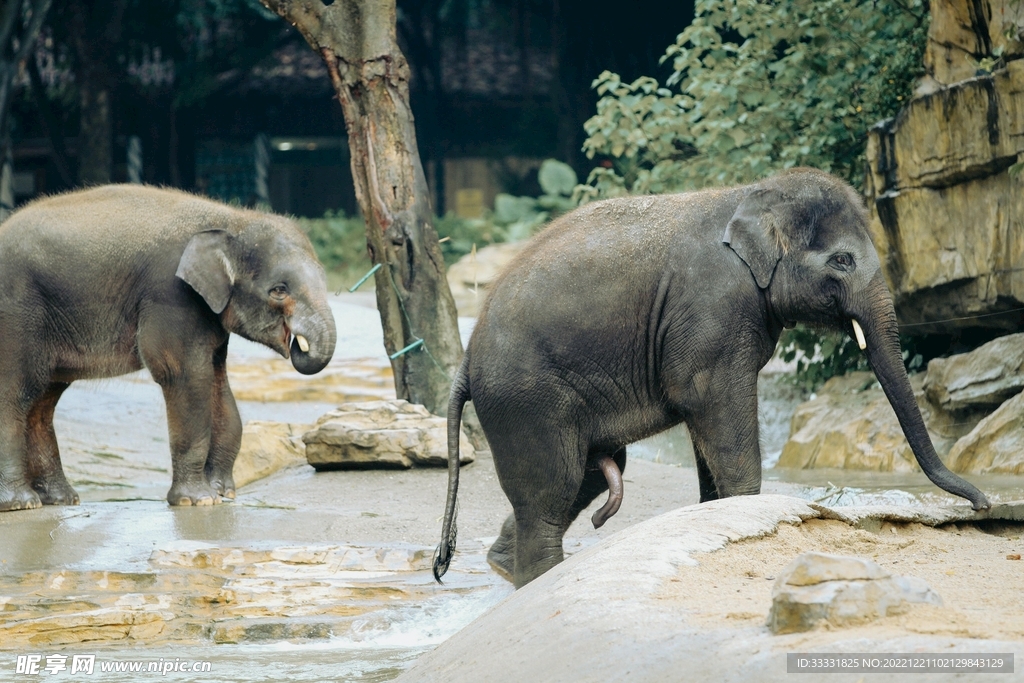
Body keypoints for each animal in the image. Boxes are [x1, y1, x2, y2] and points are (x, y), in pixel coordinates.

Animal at [0, 185, 336, 512]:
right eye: (279, 290)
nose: (297, 344)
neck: (231, 218)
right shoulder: (171, 293)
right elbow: (182, 374)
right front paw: (198, 500)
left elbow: (217, 381)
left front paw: (223, 493)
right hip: (16, 314)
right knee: (17, 390)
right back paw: (21, 504)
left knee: (43, 399)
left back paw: (60, 499)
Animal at [433, 168, 989, 588]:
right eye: (843, 260)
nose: (983, 505)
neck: (750, 192)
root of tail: (467, 359)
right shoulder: (714, 310)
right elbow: (710, 401)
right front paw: (747, 510)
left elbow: (707, 430)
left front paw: (715, 513)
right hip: (525, 398)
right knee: (553, 491)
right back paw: (538, 579)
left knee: (586, 477)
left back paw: (503, 568)